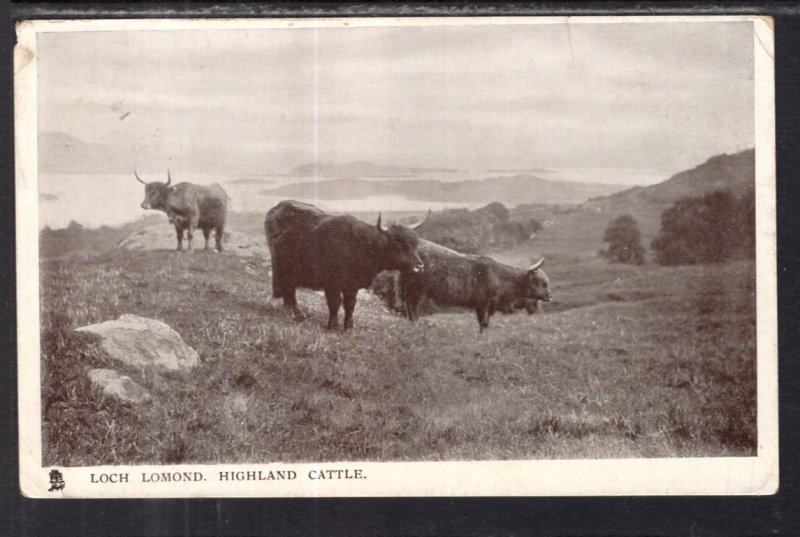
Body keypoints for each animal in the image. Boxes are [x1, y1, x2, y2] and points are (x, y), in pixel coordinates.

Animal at [266, 199, 428, 328]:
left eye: (415, 243)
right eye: (397, 242)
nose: (419, 266)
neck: (361, 245)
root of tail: (279, 206)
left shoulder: (352, 285)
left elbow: (350, 304)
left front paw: (349, 326)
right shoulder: (332, 283)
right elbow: (335, 302)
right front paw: (333, 325)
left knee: (290, 291)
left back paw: (296, 313)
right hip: (281, 267)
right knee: (286, 289)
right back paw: (291, 312)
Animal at [400, 240, 552, 330]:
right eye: (540, 282)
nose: (550, 296)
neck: (501, 277)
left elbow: (485, 323)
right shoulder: (483, 304)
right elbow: (483, 323)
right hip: (415, 289)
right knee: (412, 308)